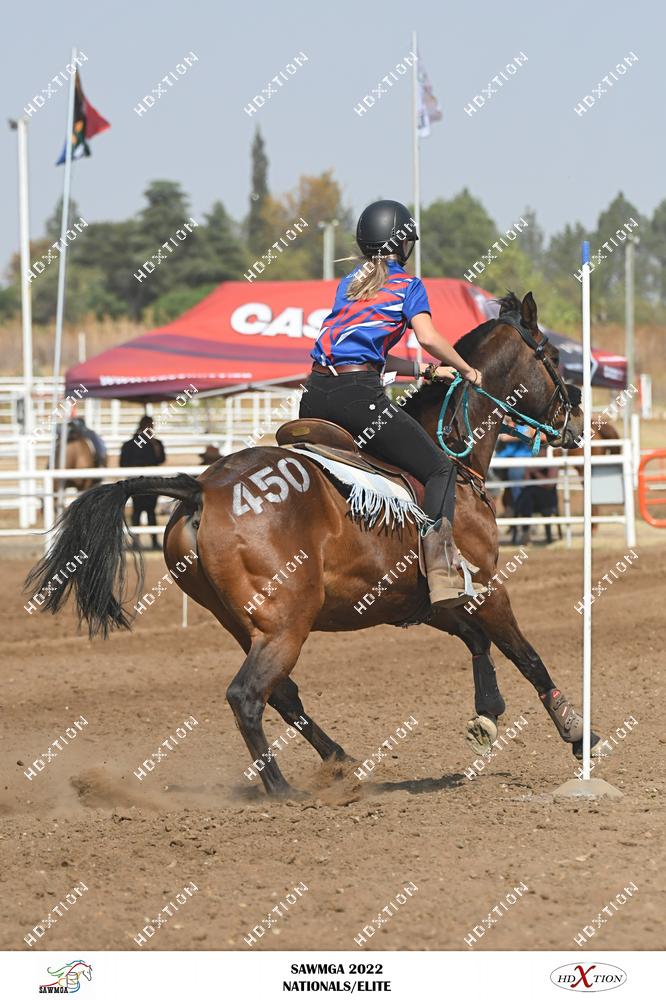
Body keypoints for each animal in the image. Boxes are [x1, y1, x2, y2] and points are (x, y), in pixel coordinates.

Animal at [26, 291, 600, 798]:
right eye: (551, 356)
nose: (576, 420)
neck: (452, 459)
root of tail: (201, 488)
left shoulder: (423, 600)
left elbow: (476, 640)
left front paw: (488, 712)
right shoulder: (484, 585)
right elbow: (526, 655)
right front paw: (577, 733)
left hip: (249, 625)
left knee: (283, 694)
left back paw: (340, 761)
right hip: (288, 621)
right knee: (248, 696)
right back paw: (283, 790)